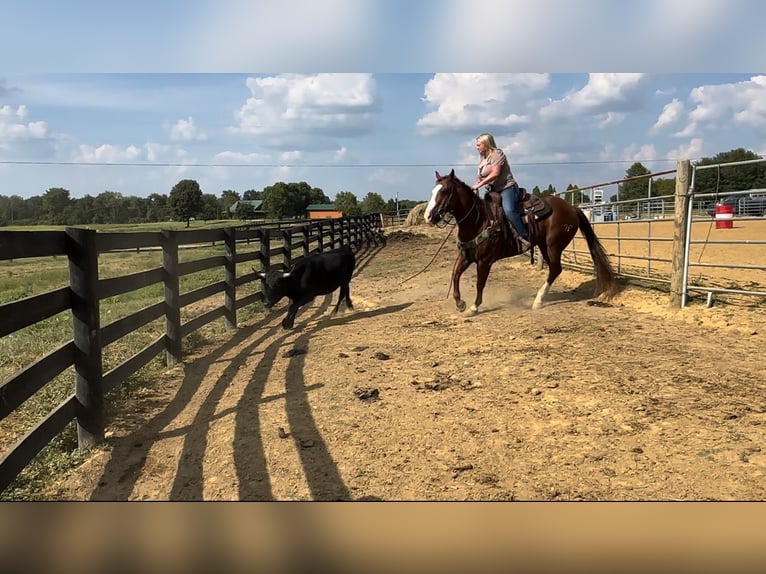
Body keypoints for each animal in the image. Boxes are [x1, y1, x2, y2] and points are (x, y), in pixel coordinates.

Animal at [426, 171, 616, 316]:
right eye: (432, 191)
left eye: (444, 191)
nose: (428, 216)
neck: (480, 220)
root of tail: (573, 209)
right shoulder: (466, 256)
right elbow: (455, 275)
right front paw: (460, 303)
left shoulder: (484, 261)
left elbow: (480, 283)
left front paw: (474, 307)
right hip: (543, 246)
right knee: (554, 269)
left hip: (553, 246)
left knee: (555, 269)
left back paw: (537, 301)